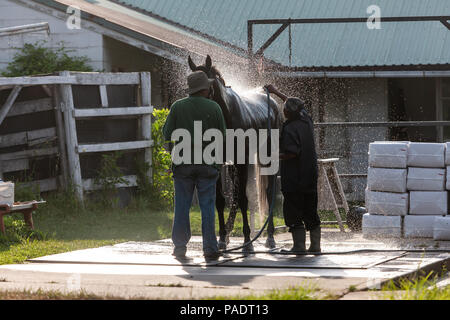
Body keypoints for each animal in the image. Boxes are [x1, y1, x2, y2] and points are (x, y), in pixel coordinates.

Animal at [187, 55, 282, 252]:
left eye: (206, 84)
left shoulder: (242, 161)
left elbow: (244, 200)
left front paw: (247, 241)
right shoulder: (217, 164)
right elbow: (220, 200)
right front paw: (222, 238)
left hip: (268, 158)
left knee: (268, 193)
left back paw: (270, 237)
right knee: (235, 197)